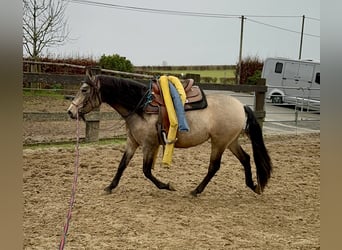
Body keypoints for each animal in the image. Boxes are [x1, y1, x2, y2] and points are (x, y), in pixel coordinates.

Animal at [67, 71, 272, 197]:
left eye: (84, 90)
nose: (70, 111)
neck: (141, 106)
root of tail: (241, 106)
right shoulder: (133, 142)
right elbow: (122, 165)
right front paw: (110, 186)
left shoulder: (149, 145)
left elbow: (146, 171)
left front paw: (167, 186)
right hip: (230, 141)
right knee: (245, 159)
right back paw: (253, 186)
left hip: (219, 143)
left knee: (214, 166)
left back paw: (196, 191)